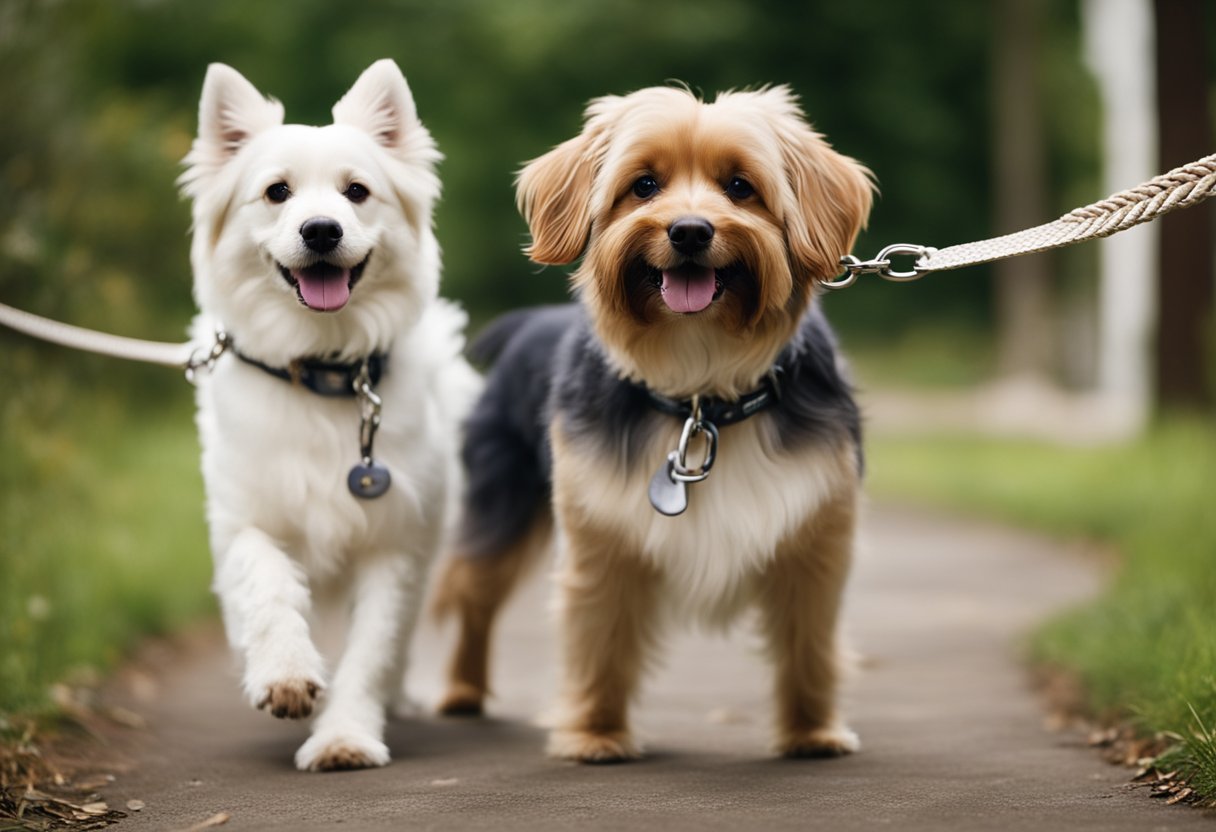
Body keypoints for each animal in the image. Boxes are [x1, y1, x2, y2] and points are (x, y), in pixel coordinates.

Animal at [177, 60, 476, 773]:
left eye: (357, 192)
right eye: (277, 192)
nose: (320, 230)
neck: (323, 368)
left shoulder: (395, 545)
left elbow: (372, 650)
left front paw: (345, 737)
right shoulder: (244, 519)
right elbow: (265, 585)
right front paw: (283, 673)